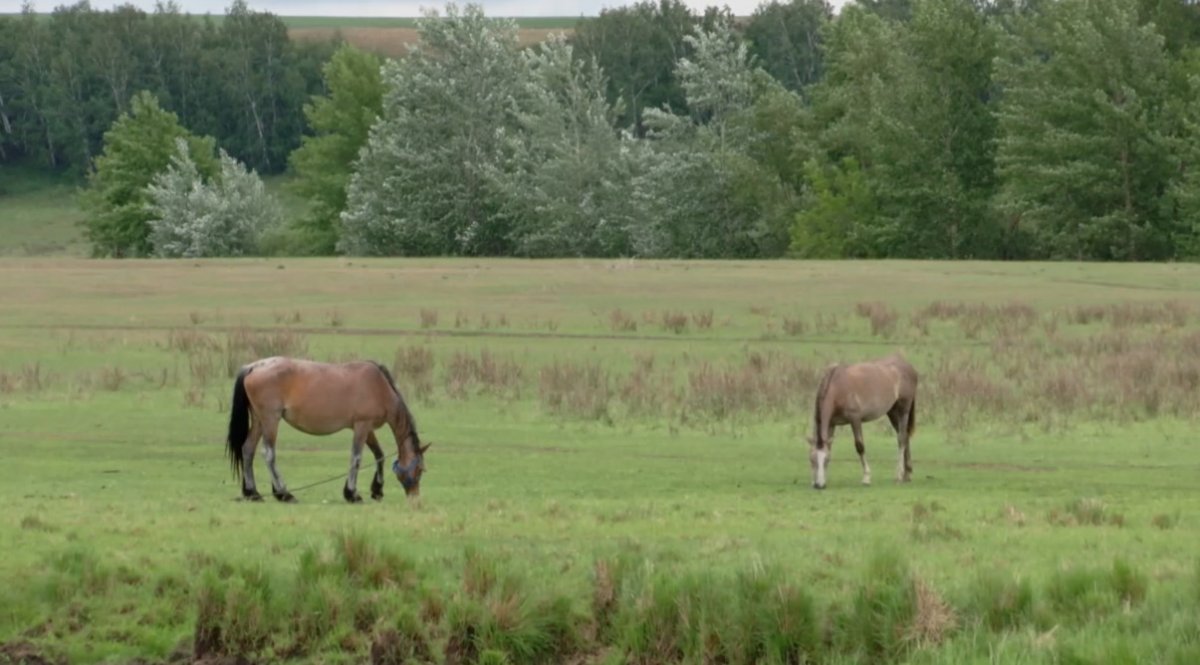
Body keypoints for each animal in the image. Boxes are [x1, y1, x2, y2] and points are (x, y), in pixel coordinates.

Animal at [225, 357, 432, 501]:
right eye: (420, 469)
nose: (415, 497)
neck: (379, 387)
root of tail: (254, 367)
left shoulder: (367, 429)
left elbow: (378, 454)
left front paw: (377, 490)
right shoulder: (362, 426)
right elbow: (356, 458)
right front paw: (352, 494)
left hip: (259, 421)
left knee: (248, 450)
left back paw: (253, 492)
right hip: (270, 420)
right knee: (268, 454)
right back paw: (284, 493)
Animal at [806, 352, 916, 487]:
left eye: (826, 460)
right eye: (812, 459)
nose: (818, 485)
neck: (838, 388)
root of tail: (908, 367)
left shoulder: (855, 420)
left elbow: (860, 446)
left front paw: (866, 477)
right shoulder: (832, 424)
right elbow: (830, 446)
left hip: (903, 410)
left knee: (901, 439)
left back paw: (899, 475)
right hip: (892, 412)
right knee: (905, 436)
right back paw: (907, 474)